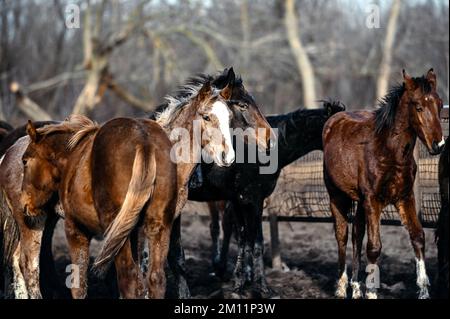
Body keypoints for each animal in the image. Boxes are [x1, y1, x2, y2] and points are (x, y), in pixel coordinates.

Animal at [169, 101, 344, 298]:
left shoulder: (240, 200)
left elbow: (245, 239)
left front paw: (242, 282)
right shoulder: (253, 200)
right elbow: (255, 242)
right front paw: (261, 286)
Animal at [324, 68, 446, 300]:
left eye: (440, 103)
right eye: (418, 106)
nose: (439, 145)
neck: (388, 151)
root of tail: (334, 117)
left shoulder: (404, 197)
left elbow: (417, 236)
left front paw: (423, 290)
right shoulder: (373, 201)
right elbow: (374, 247)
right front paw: (371, 292)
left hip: (360, 202)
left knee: (356, 235)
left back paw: (355, 288)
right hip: (337, 195)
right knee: (342, 235)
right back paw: (341, 287)